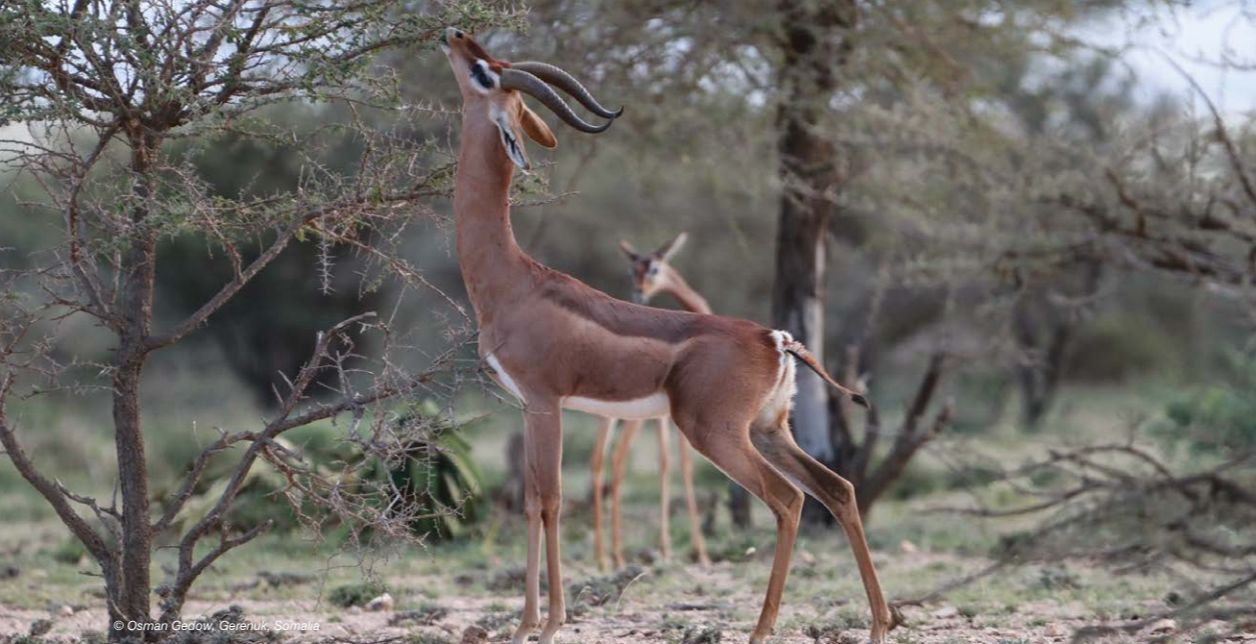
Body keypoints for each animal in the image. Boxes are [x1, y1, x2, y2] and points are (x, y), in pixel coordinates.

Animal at [589, 233, 711, 571]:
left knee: (598, 462)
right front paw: (699, 552)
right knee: (616, 461)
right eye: (632, 270)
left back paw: (604, 557)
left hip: (610, 417)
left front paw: (667, 548)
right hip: (629, 421)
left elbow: (665, 464)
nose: (638, 293)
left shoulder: (662, 421)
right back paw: (614, 556)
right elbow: (683, 466)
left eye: (654, 268)